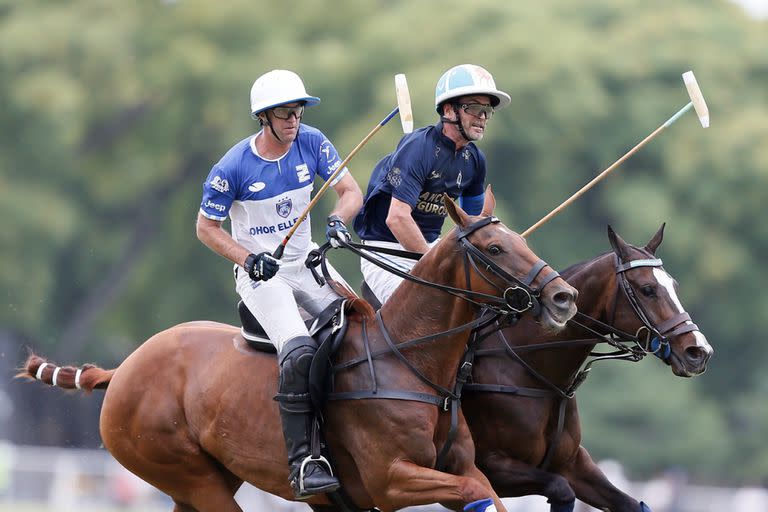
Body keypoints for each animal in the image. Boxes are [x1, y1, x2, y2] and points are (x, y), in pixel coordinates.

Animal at [18, 190, 576, 512]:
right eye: (496, 248)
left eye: (519, 241)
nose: (563, 297)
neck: (411, 361)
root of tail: (122, 370)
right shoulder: (391, 480)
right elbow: (477, 495)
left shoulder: (461, 466)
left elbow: (487, 493)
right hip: (183, 472)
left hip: (202, 479)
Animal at [460, 225, 712, 512]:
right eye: (647, 289)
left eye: (674, 286)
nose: (699, 351)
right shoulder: (493, 465)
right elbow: (560, 489)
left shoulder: (572, 464)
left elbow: (630, 503)